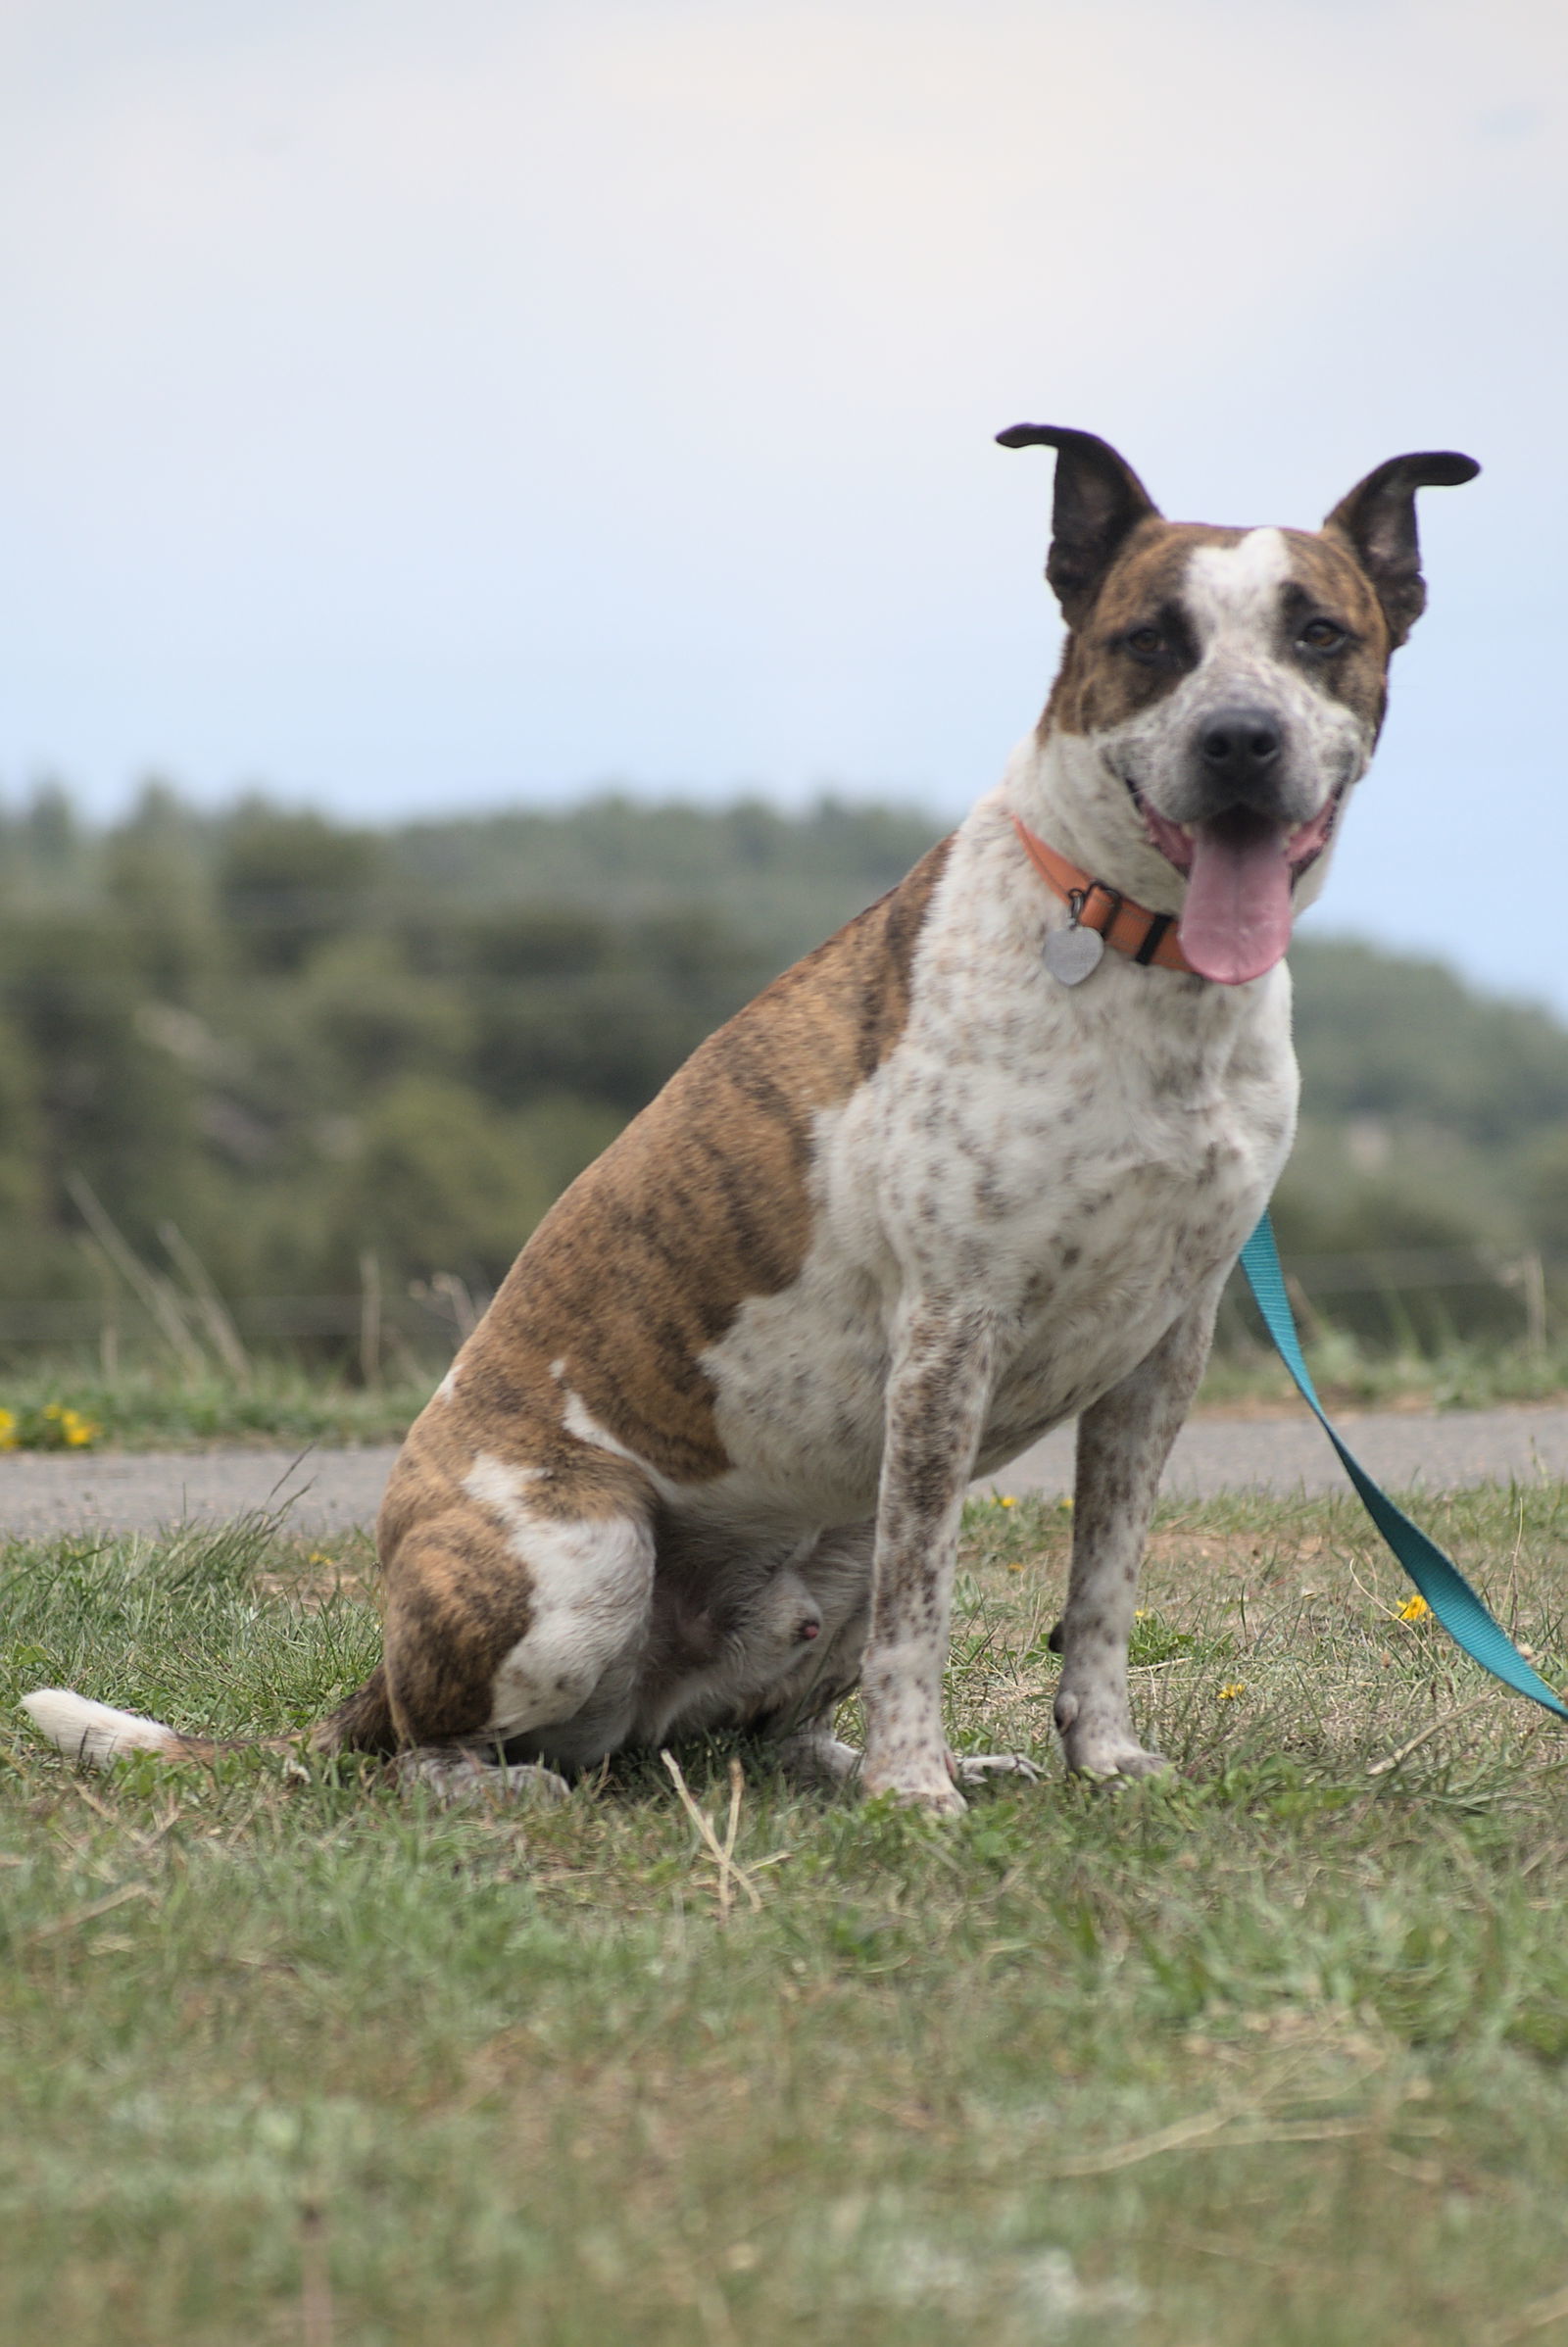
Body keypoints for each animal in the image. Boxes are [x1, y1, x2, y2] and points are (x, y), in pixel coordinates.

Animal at [21, 426, 1474, 1811]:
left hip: (830, 1547)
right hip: (585, 1558)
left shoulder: (1163, 1352)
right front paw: (913, 1790)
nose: (1239, 739)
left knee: (768, 1734)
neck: (1138, 958)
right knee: (428, 1748)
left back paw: (905, 1765)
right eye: (1151, 640)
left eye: (1318, 633)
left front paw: (1096, 1759)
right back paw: (500, 1787)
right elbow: (927, 1610)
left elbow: (1100, 1594)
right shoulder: (950, 1335)